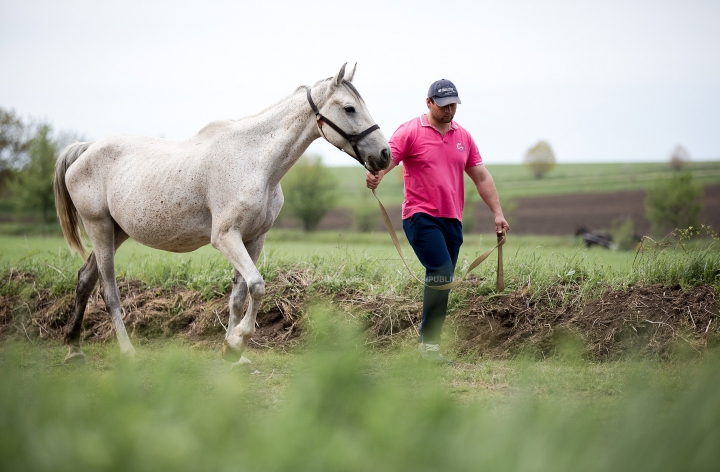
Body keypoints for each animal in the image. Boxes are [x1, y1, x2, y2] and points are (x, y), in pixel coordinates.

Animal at [53, 63, 390, 366]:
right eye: (349, 108)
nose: (384, 155)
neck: (255, 161)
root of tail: (86, 148)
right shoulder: (226, 238)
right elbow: (257, 286)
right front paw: (238, 341)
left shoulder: (254, 239)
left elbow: (240, 296)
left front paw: (233, 352)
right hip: (99, 228)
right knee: (108, 291)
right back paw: (127, 353)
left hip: (116, 231)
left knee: (85, 279)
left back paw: (74, 349)